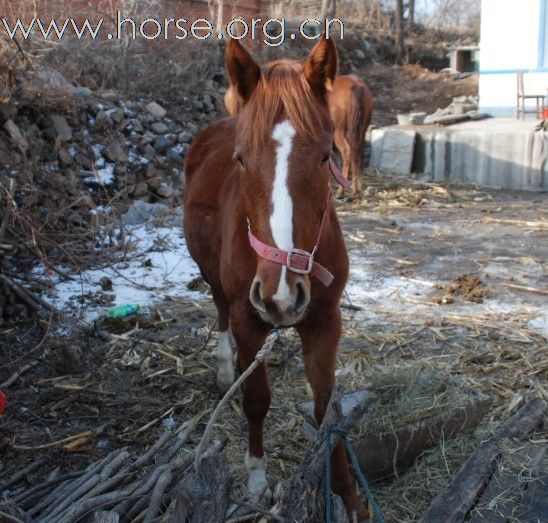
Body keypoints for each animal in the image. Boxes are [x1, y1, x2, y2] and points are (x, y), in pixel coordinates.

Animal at [184, 35, 368, 520]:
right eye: (241, 159)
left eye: (324, 157)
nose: (281, 295)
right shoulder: (250, 321)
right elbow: (256, 400)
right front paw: (256, 480)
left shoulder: (325, 322)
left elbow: (326, 409)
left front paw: (347, 493)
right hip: (215, 281)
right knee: (220, 311)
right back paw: (224, 369)